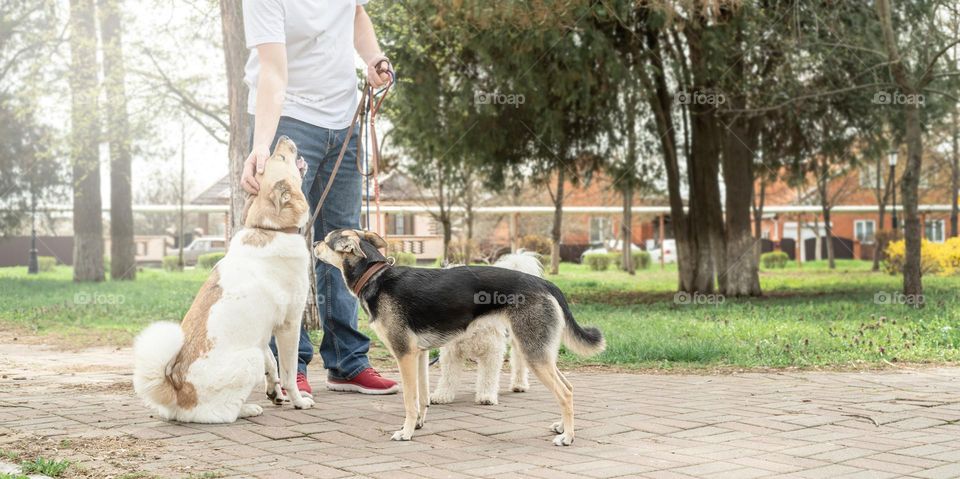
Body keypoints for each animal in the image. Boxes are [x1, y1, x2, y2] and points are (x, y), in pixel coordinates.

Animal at [132, 138, 316, 424]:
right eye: (281, 158)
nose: (284, 137)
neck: (269, 229)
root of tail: (179, 392)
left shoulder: (263, 334)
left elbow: (272, 364)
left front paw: (275, 392)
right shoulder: (290, 325)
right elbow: (288, 371)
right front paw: (298, 401)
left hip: (253, 350)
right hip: (249, 359)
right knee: (224, 414)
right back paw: (248, 409)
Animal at [432, 253, 544, 406]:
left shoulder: (492, 351)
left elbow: (488, 377)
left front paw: (486, 396)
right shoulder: (451, 352)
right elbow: (448, 377)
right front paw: (442, 395)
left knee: (519, 361)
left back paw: (519, 384)